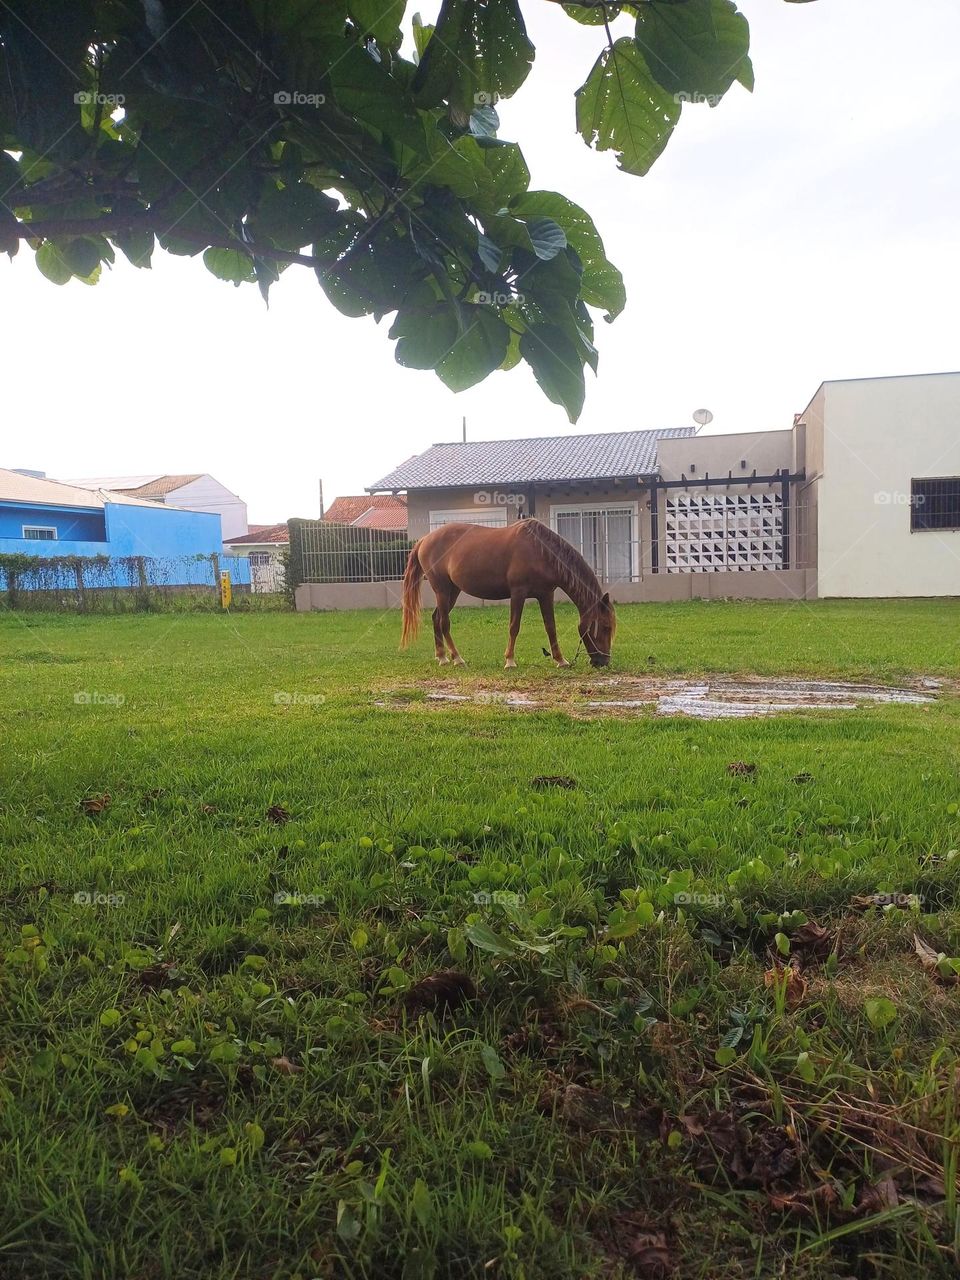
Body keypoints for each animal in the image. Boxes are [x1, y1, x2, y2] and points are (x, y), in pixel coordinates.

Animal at [400, 518, 616, 669]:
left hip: (453, 591)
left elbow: (550, 627)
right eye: (605, 627)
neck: (541, 551)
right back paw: (457, 658)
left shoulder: (546, 594)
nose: (603, 662)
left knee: (436, 618)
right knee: (444, 622)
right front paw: (510, 661)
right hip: (443, 590)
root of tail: (424, 540)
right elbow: (514, 626)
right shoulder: (518, 593)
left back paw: (442, 657)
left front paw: (560, 660)